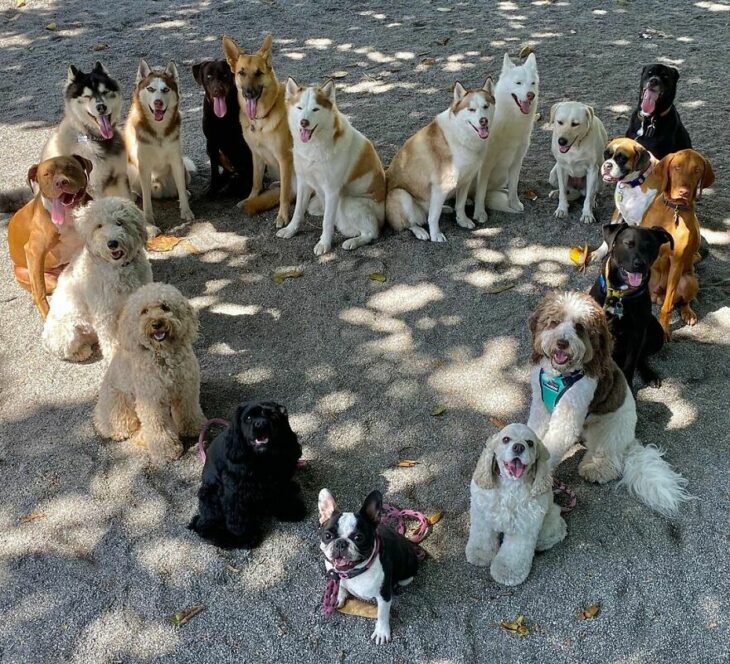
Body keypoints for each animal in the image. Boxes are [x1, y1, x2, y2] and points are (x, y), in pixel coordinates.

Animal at [6, 156, 91, 322]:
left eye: (70, 167)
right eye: (46, 174)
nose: (61, 182)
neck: (70, 217)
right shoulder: (35, 251)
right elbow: (40, 292)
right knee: (38, 290)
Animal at [640, 149, 712, 338]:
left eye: (697, 170)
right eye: (677, 167)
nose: (683, 192)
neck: (674, 210)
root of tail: (657, 295)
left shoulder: (677, 261)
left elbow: (667, 307)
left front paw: (664, 329)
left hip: (689, 280)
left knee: (681, 301)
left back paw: (688, 313)